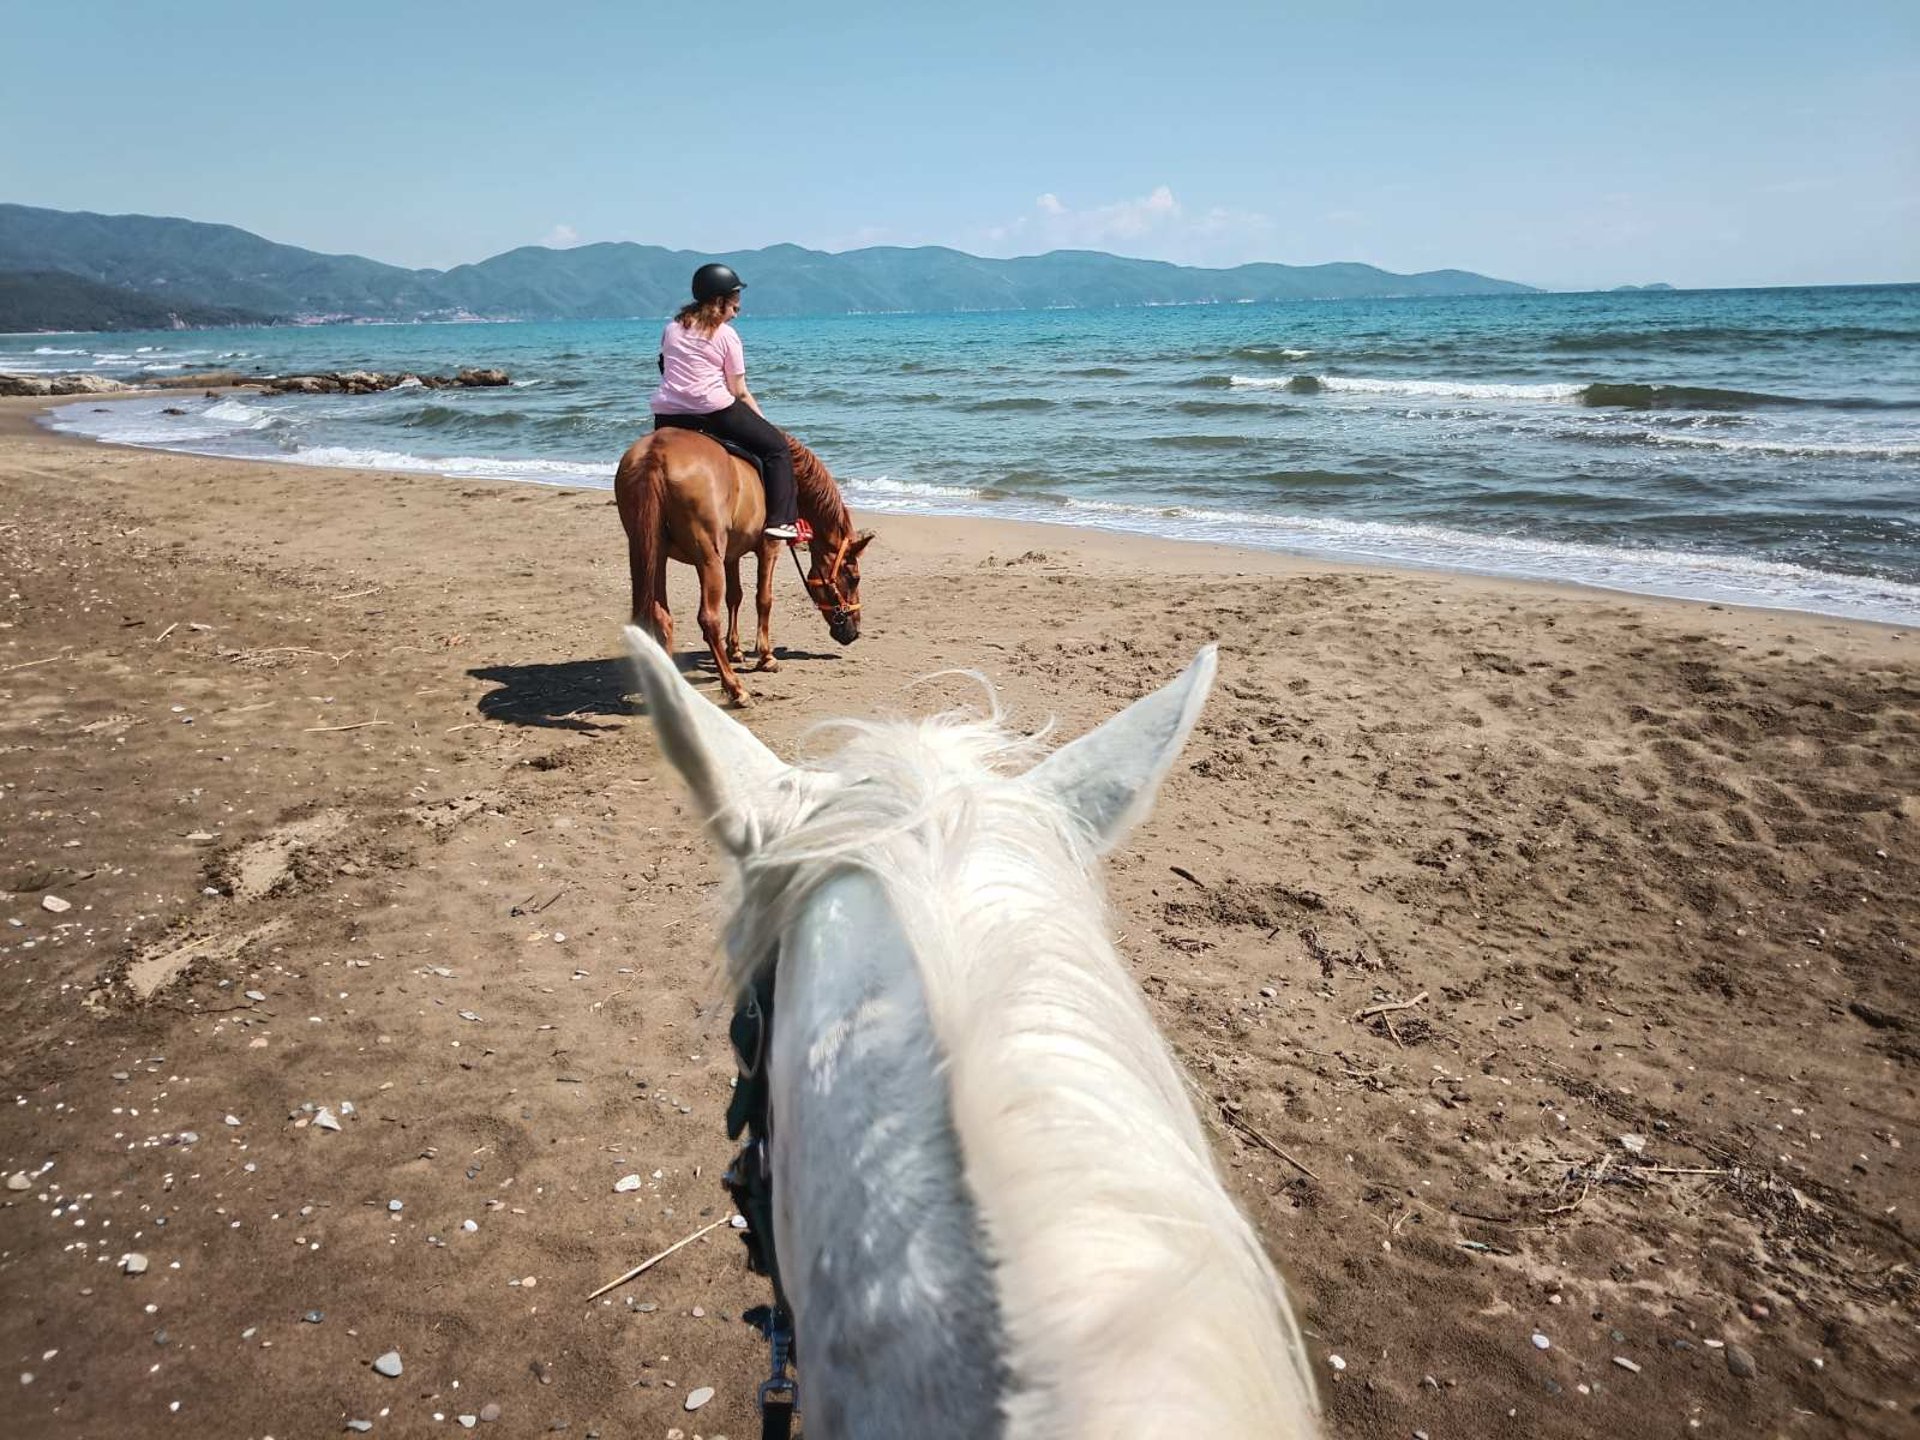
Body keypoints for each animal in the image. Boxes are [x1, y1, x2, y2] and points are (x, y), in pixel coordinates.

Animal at [614, 429, 874, 707]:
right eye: (855, 578)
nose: (854, 632)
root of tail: (656, 452)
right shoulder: (769, 547)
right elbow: (764, 599)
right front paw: (766, 657)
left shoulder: (731, 555)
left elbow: (734, 597)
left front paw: (735, 649)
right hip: (708, 559)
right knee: (708, 619)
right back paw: (735, 688)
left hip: (650, 552)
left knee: (661, 616)